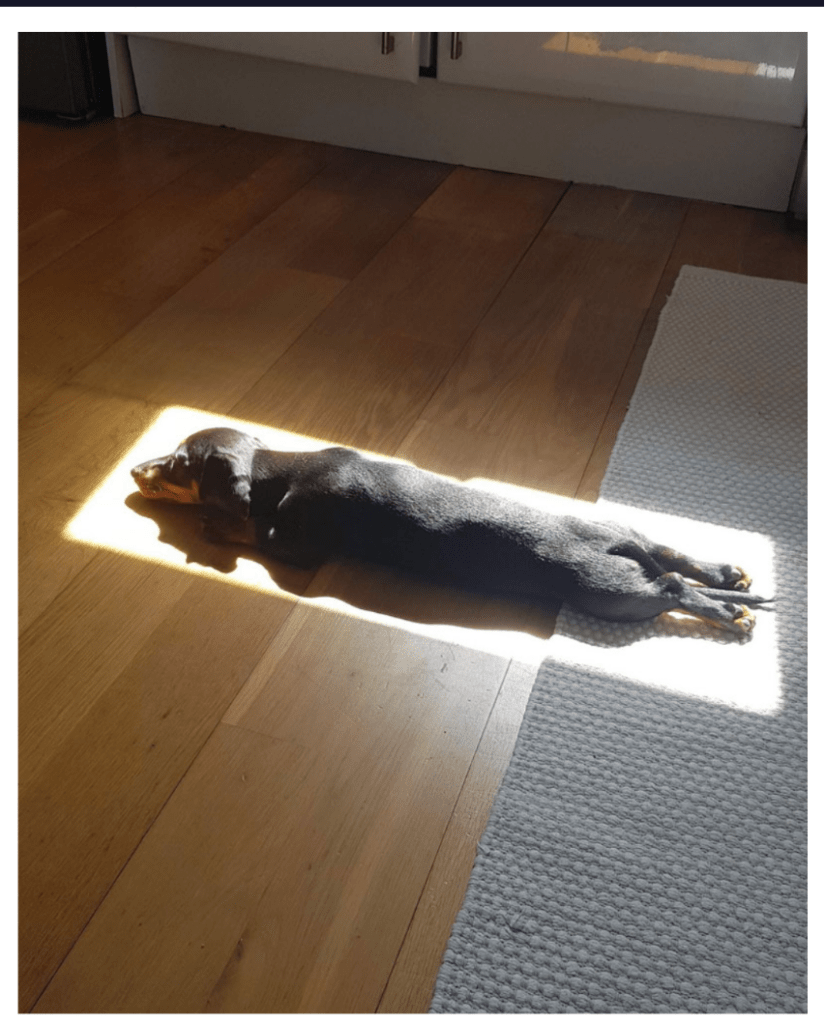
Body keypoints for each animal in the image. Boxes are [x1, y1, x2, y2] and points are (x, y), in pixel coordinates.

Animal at [131, 427, 773, 635]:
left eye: (178, 464)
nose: (135, 470)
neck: (284, 470)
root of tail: (614, 544)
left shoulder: (297, 544)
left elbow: (253, 533)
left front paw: (219, 526)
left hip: (608, 592)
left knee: (670, 588)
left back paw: (727, 613)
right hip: (626, 536)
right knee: (671, 553)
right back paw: (729, 576)